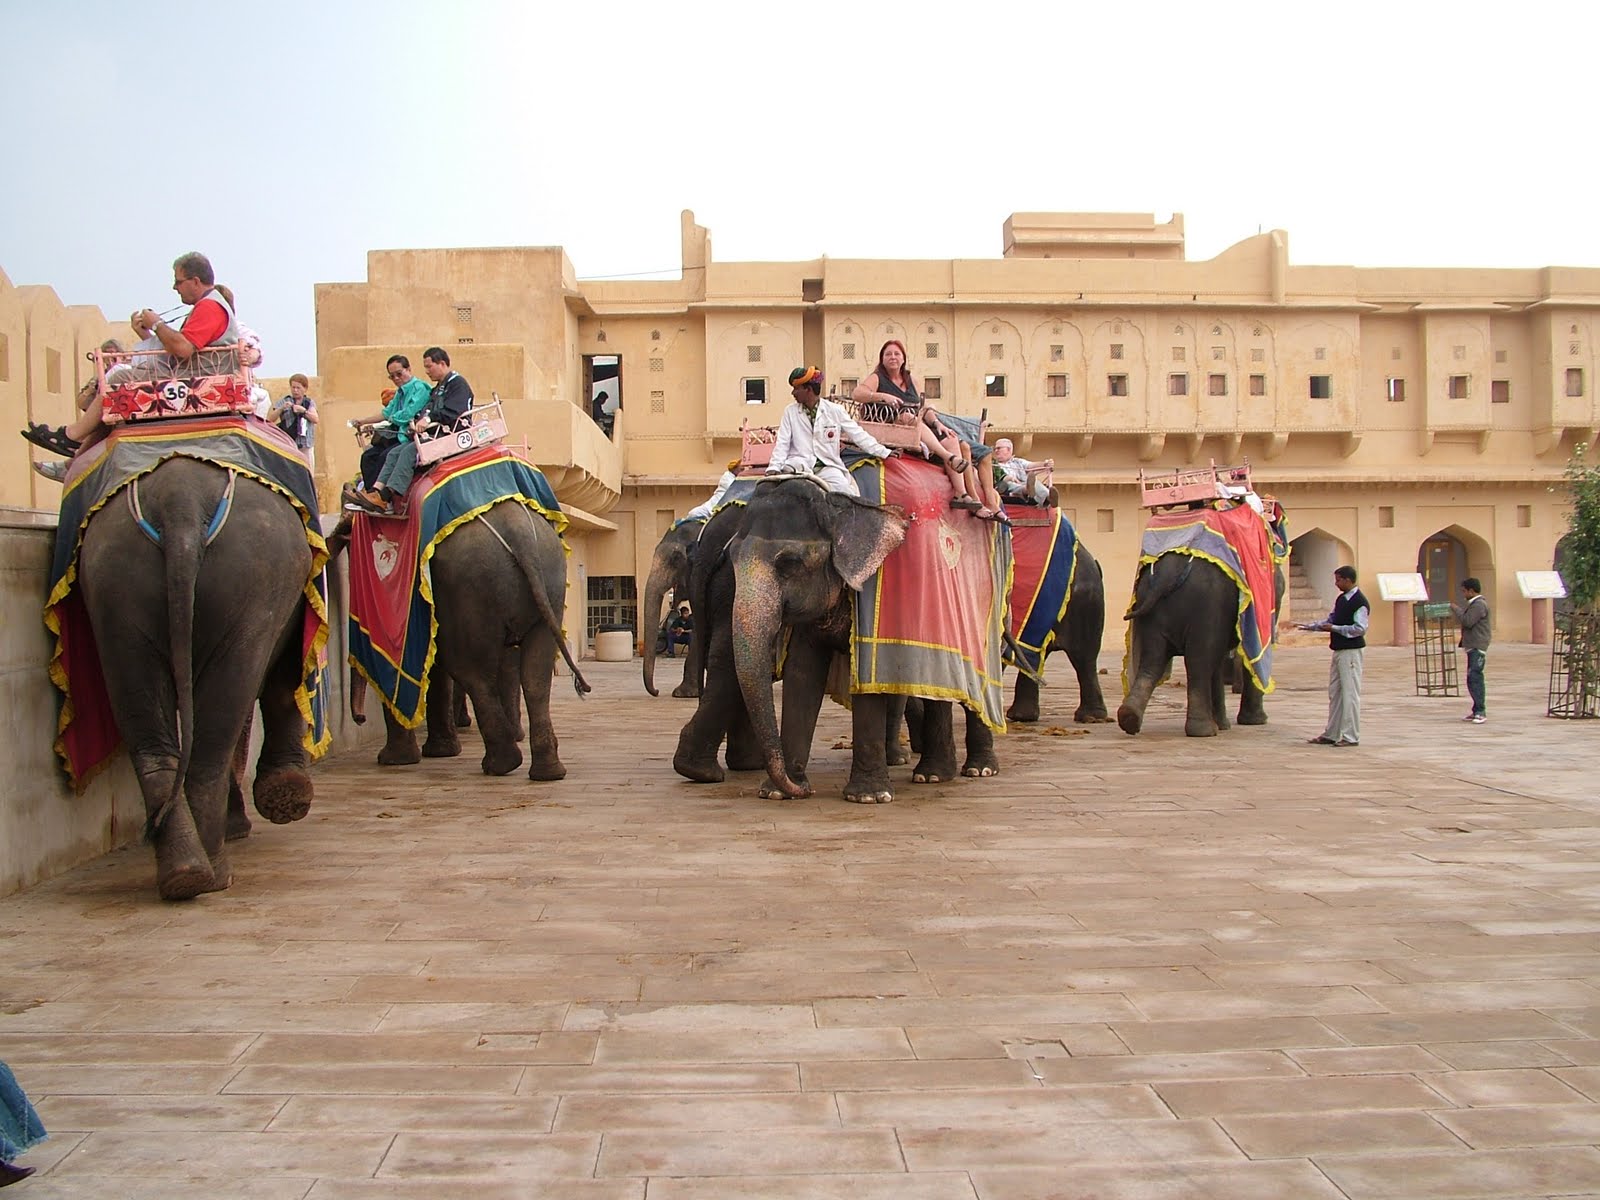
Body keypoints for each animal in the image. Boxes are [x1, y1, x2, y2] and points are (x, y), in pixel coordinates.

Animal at [77, 457, 319, 900]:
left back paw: (187, 873)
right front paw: (280, 800)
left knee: (153, 721)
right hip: (254, 580)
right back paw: (212, 869)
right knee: (220, 722)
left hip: (113, 581)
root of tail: (180, 501)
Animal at [331, 501, 589, 779]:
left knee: (472, 672)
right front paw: (438, 752)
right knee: (534, 676)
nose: (359, 719)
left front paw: (395, 760)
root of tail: (521, 535)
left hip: (470, 589)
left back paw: (500, 764)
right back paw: (546, 771)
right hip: (548, 578)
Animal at [674, 477, 999, 803]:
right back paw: (932, 774)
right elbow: (802, 672)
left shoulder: (876, 596)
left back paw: (974, 770)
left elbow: (866, 678)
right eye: (730, 559)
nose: (806, 791)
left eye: (789, 563)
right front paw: (780, 792)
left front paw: (868, 797)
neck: (839, 506)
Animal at [1117, 552, 1283, 737]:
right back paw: (1204, 731)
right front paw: (1254, 722)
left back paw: (1129, 718)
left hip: (1151, 610)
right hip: (1206, 607)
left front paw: (1224, 726)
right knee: (1199, 663)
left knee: (1153, 661)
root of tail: (1166, 575)